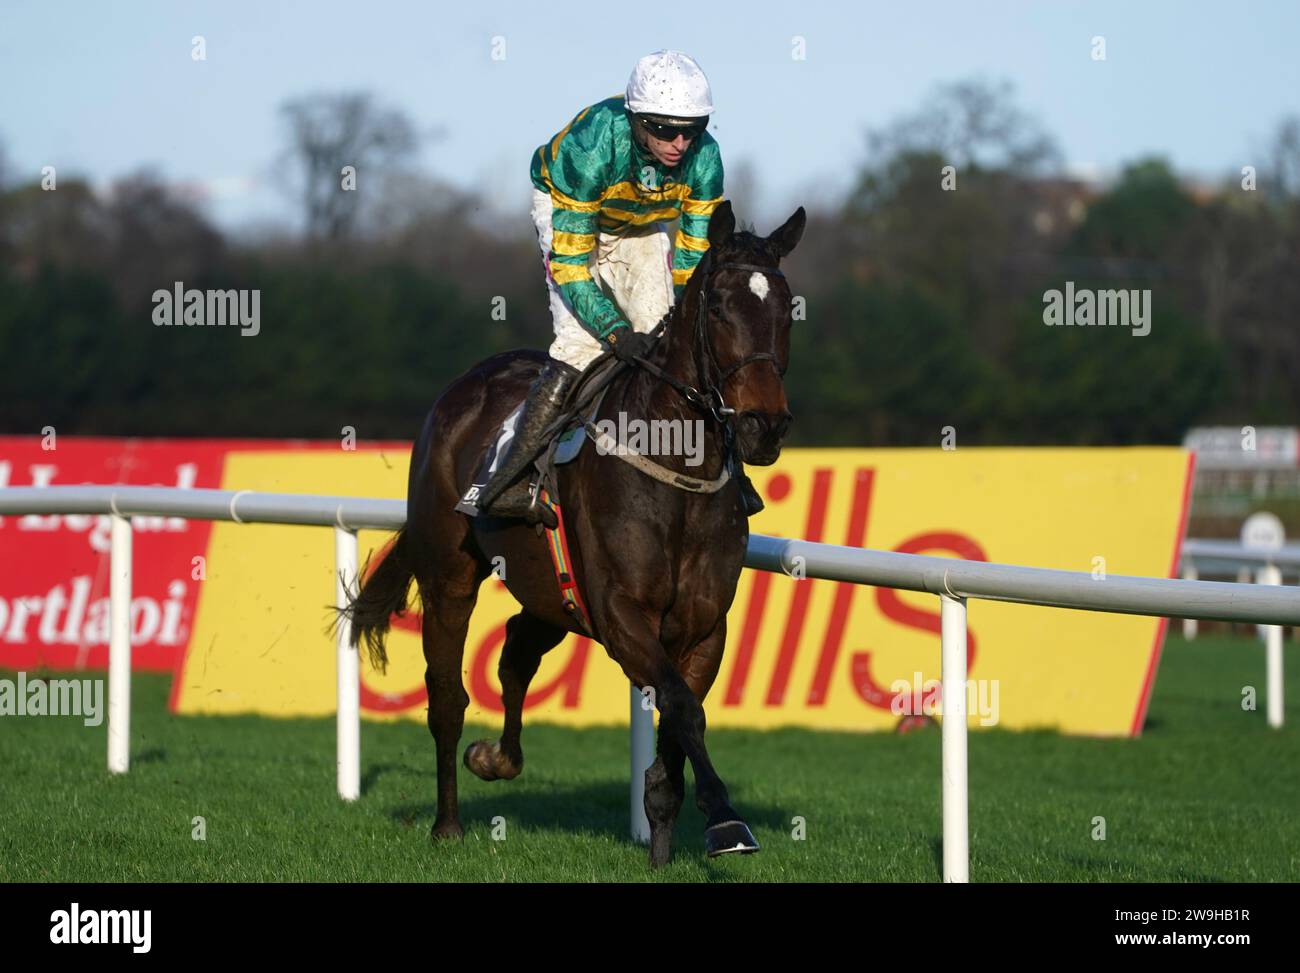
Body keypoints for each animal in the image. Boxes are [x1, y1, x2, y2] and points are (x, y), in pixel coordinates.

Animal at [351, 199, 806, 868]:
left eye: (785, 308)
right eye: (721, 307)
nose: (763, 425)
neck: (675, 465)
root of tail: (466, 385)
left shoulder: (703, 626)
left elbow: (679, 716)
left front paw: (661, 839)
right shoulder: (621, 614)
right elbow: (682, 709)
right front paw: (725, 822)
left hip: (551, 588)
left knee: (516, 649)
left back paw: (496, 757)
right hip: (450, 574)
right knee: (447, 695)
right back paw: (448, 823)